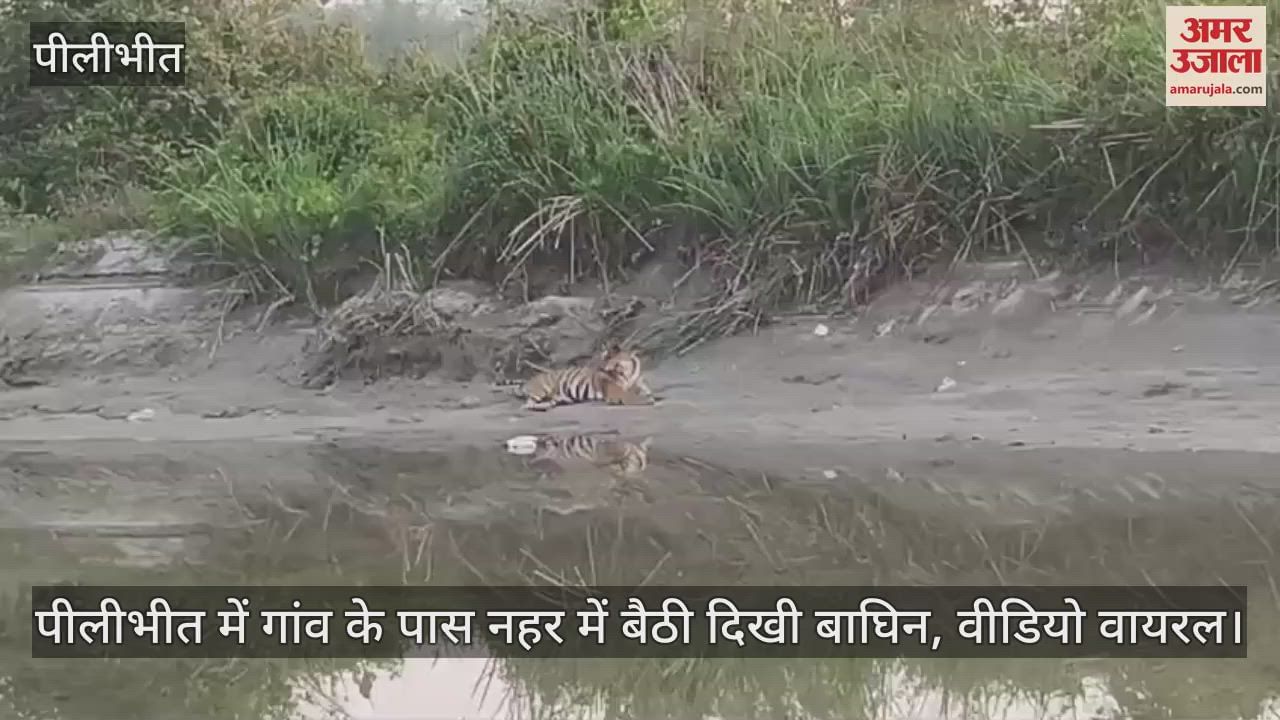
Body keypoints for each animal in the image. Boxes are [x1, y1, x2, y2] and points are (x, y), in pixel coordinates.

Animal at [513, 344, 654, 412]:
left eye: (607, 357)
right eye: (603, 357)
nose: (599, 368)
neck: (626, 372)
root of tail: (528, 381)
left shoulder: (639, 385)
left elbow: (645, 391)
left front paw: (649, 396)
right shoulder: (616, 393)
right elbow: (632, 396)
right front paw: (647, 400)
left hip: (555, 397)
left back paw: (548, 405)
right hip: (542, 389)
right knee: (527, 404)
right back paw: (541, 407)